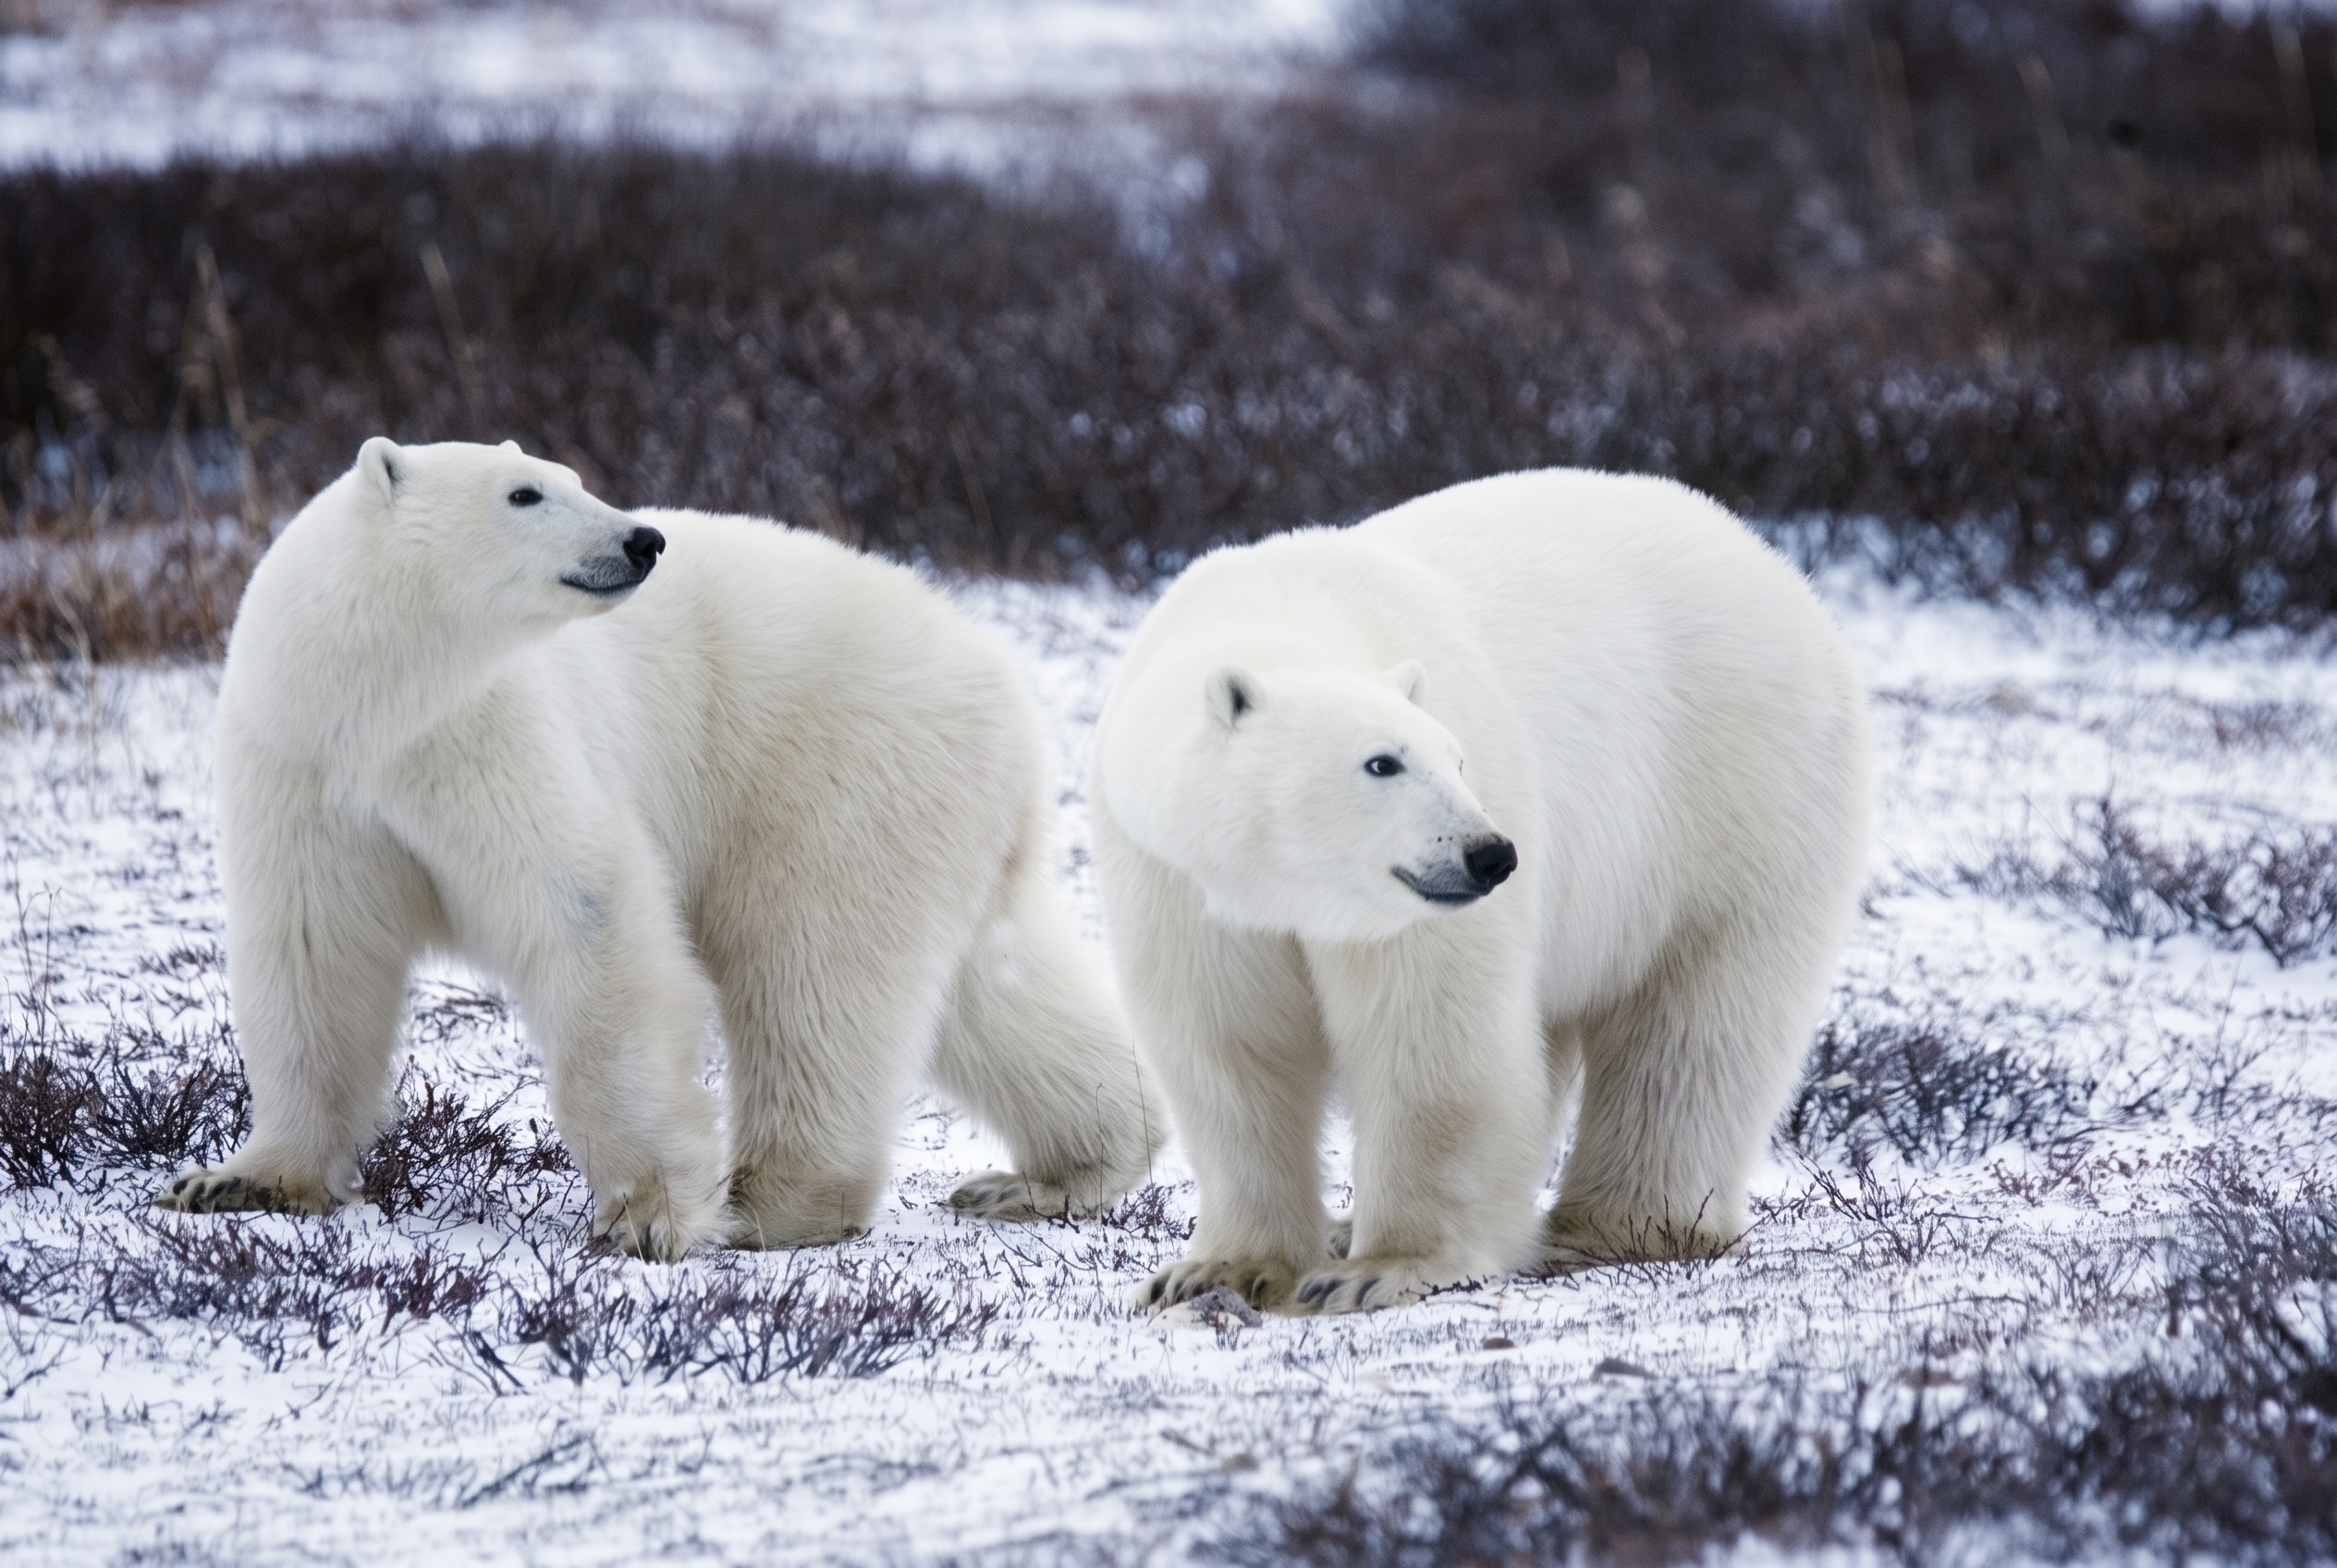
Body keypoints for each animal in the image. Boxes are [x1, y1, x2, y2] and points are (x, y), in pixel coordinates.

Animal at [156, 437, 1161, 1258]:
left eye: (572, 477)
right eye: (525, 492)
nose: (643, 540)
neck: (380, 703)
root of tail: (998, 675)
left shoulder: (492, 735)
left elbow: (587, 915)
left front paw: (646, 1214)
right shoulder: (305, 765)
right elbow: (313, 954)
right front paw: (239, 1180)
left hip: (835, 769)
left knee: (810, 971)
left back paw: (772, 1201)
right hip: (935, 808)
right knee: (986, 984)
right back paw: (1054, 1171)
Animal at [1093, 468, 1870, 1314]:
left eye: (1456, 759)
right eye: (1382, 762)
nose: (1490, 855)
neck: (1279, 610)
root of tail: (1768, 558)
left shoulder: (1414, 908)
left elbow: (1433, 1038)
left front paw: (1379, 1268)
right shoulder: (1179, 880)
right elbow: (1229, 1049)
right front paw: (1216, 1271)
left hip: (1735, 799)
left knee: (1694, 1029)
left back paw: (1615, 1226)